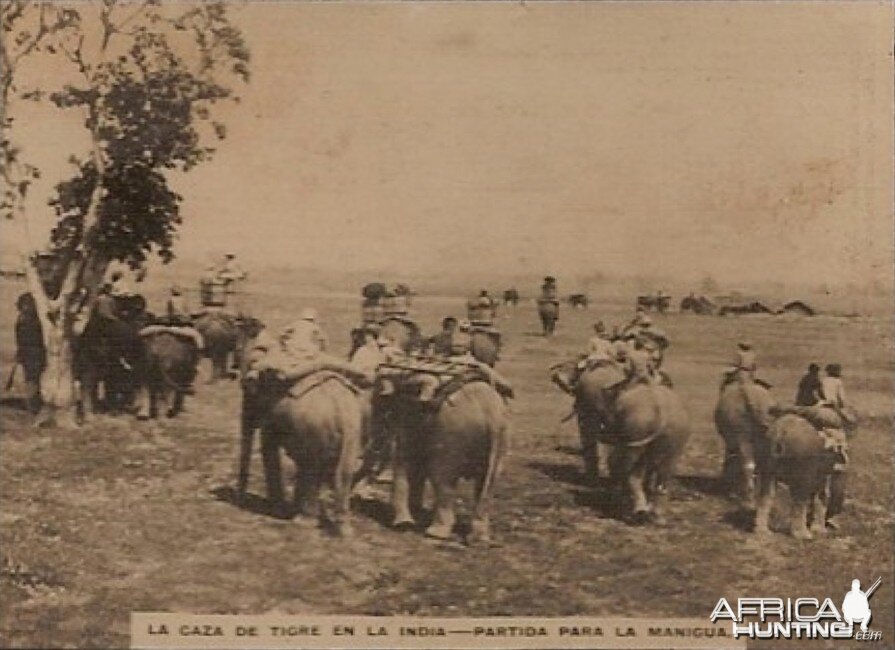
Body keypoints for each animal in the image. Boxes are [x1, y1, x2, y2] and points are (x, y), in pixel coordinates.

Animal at [252, 374, 364, 532]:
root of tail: (340, 405)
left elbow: (269, 447)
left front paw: (277, 510)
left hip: (314, 429)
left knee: (312, 469)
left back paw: (302, 522)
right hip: (353, 430)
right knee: (343, 472)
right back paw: (344, 530)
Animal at [380, 380, 512, 540]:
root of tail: (492, 414)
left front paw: (404, 523)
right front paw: (412, 516)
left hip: (453, 435)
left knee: (443, 480)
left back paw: (435, 534)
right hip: (502, 438)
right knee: (487, 484)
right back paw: (479, 539)